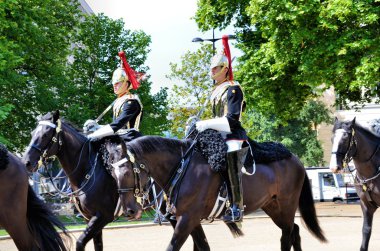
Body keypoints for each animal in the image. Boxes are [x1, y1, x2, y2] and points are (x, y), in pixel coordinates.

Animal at [22, 112, 143, 251]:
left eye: (46, 134)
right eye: (32, 133)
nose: (26, 162)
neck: (88, 170)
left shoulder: (103, 216)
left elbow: (80, 242)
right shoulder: (90, 218)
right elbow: (98, 245)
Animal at [106, 134, 326, 250]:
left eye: (127, 172)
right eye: (112, 173)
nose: (129, 211)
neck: (181, 168)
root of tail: (294, 158)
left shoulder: (187, 219)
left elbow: (173, 246)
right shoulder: (188, 220)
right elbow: (203, 246)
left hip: (286, 205)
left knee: (287, 235)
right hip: (273, 207)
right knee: (294, 231)